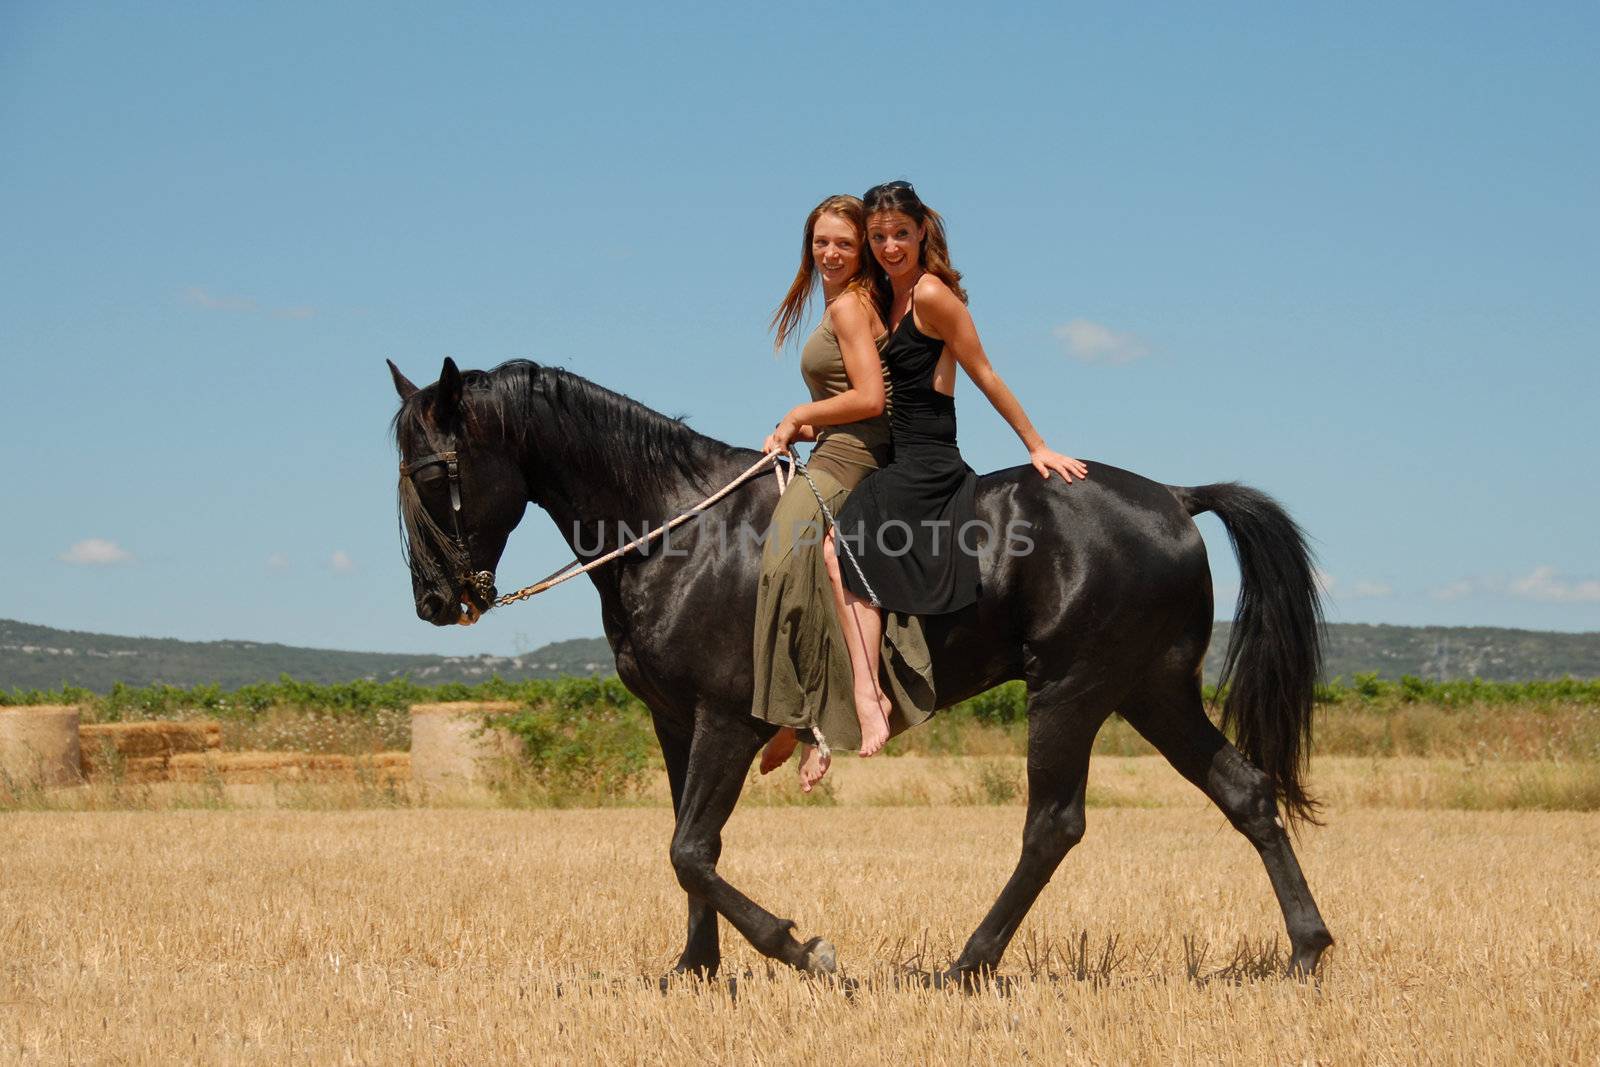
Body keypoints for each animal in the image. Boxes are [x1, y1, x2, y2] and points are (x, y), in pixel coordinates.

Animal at [390, 358, 1337, 985]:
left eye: (434, 471)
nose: (435, 601)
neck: (679, 528)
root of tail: (1175, 498)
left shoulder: (729, 718)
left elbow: (690, 848)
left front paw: (802, 949)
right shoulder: (674, 718)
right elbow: (688, 848)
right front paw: (695, 968)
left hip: (1072, 691)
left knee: (1052, 825)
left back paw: (965, 964)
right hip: (1152, 690)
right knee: (1246, 792)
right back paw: (1306, 948)